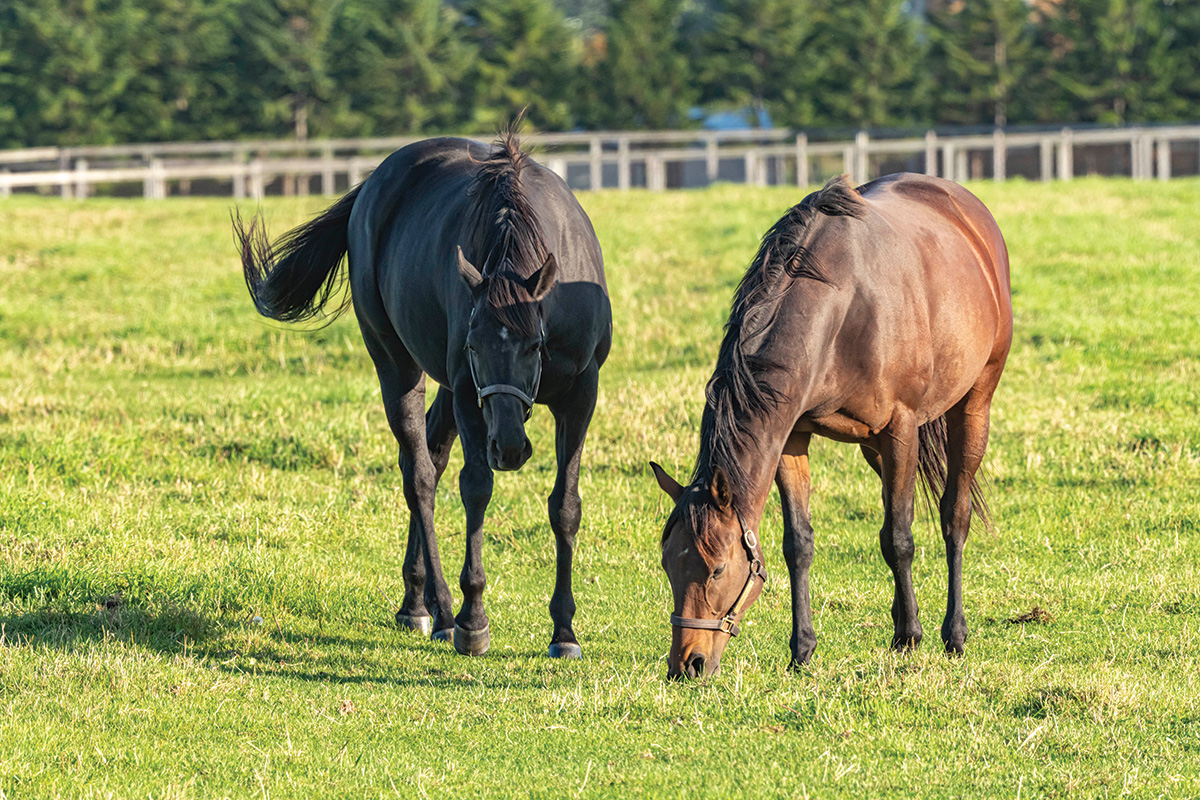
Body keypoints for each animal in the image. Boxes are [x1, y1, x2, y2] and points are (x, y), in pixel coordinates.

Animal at [236, 130, 609, 657]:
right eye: (474, 346)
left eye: (535, 345)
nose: (509, 447)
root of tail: (373, 183)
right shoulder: (471, 394)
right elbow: (476, 488)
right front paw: (474, 618)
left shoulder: (581, 393)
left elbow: (565, 506)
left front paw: (564, 630)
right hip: (398, 366)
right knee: (420, 476)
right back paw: (439, 611)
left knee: (432, 453)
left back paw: (418, 601)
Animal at [652, 173, 1008, 676]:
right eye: (668, 564)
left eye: (717, 568)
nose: (687, 664)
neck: (843, 310)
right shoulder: (792, 436)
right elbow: (799, 544)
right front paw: (802, 649)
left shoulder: (901, 429)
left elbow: (899, 538)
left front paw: (910, 636)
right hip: (874, 449)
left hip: (974, 405)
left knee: (954, 514)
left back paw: (952, 633)